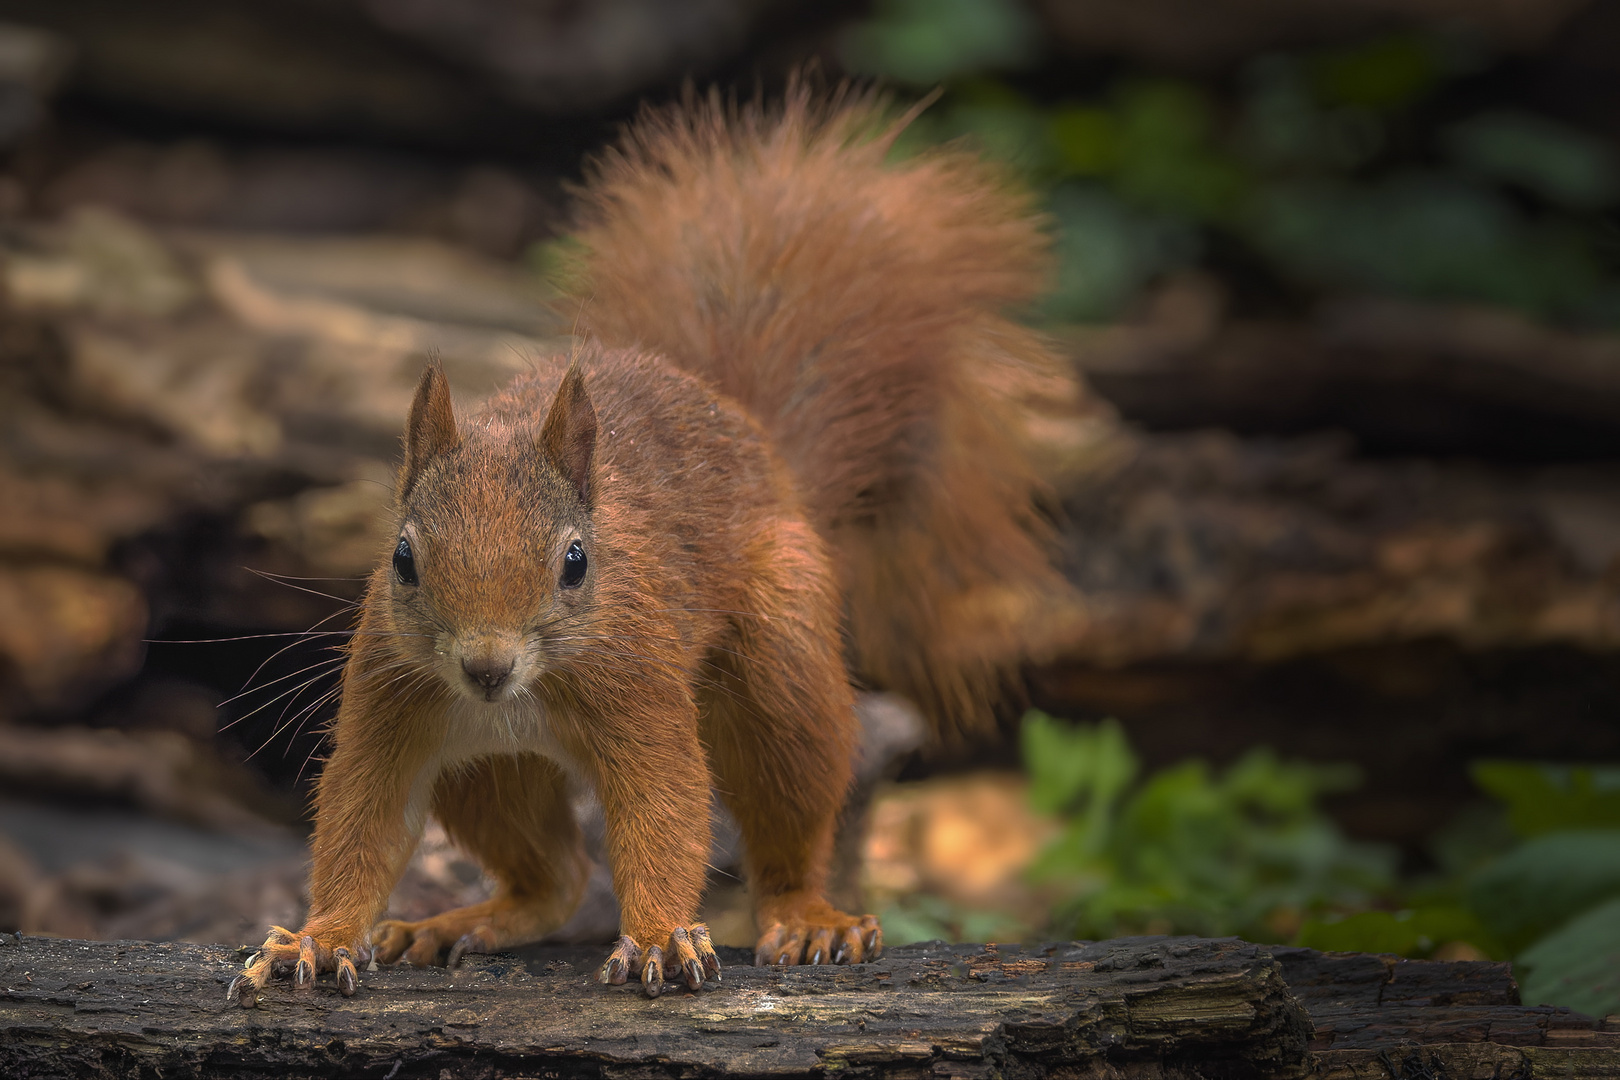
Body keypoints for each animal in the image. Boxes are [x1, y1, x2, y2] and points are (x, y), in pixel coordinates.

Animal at [228, 84, 1062, 1003]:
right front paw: (319, 938)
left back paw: (810, 917)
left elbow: (665, 805)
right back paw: (456, 922)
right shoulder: (389, 700)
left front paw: (661, 935)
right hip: (488, 773)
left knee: (788, 803)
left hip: (782, 659)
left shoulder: (640, 688)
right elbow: (361, 818)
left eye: (576, 562)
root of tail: (753, 433)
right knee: (554, 876)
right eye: (402, 560)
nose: (486, 668)